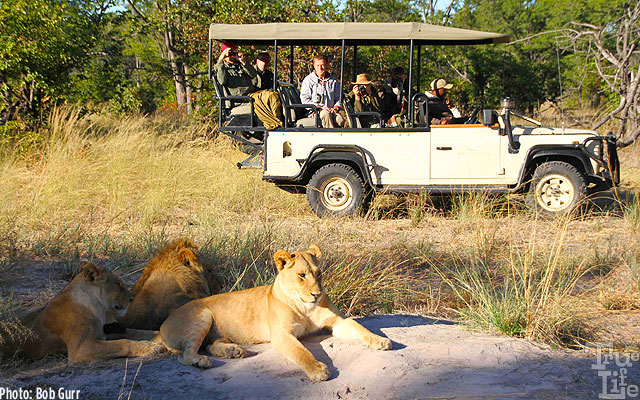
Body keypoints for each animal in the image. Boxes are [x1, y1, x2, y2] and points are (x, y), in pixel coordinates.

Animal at [7, 262, 164, 362]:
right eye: (119, 285)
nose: (131, 299)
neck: (99, 308)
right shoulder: (81, 349)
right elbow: (122, 343)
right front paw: (150, 347)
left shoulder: (108, 331)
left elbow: (141, 332)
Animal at [160, 244, 390, 382]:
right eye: (301, 275)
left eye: (319, 274)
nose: (317, 294)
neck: (305, 306)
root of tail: (164, 322)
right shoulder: (281, 335)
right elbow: (301, 353)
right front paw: (317, 370)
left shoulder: (337, 321)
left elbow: (359, 327)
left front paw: (380, 340)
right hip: (202, 316)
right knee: (185, 355)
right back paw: (201, 361)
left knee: (209, 344)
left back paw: (233, 351)